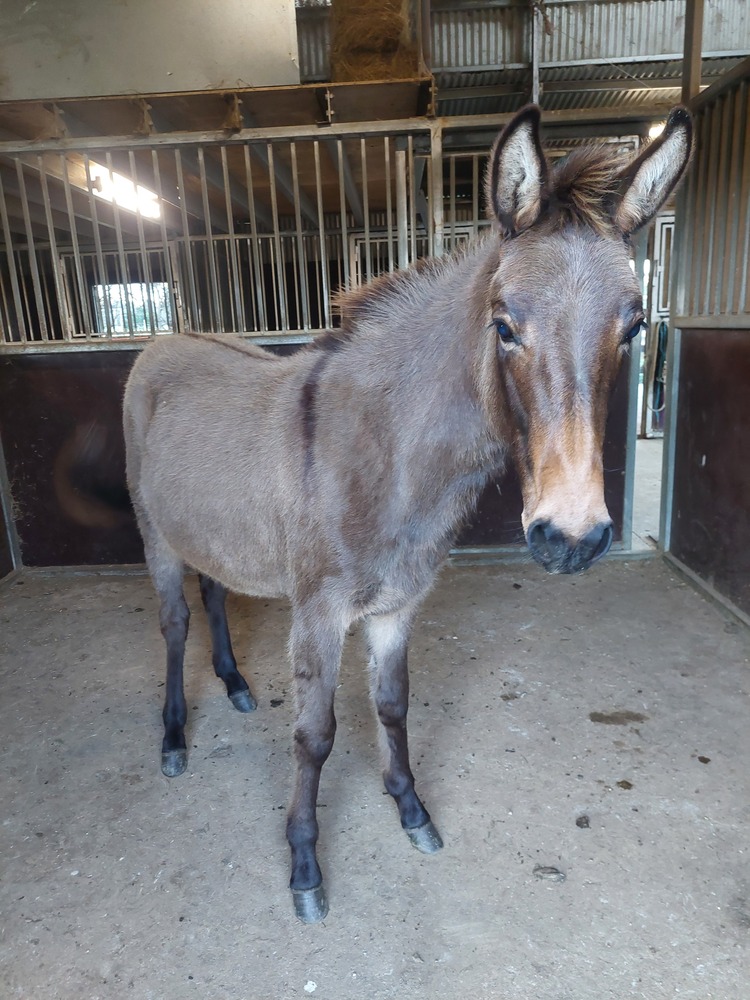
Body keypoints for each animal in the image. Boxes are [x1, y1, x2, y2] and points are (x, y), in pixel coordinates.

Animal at [123, 105, 692, 923]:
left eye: (636, 327)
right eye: (503, 325)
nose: (572, 538)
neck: (388, 455)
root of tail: (165, 339)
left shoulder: (399, 605)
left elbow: (392, 706)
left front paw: (412, 810)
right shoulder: (320, 613)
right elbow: (315, 735)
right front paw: (304, 868)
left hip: (214, 533)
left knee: (215, 592)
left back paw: (233, 685)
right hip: (156, 537)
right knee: (173, 626)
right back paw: (173, 738)